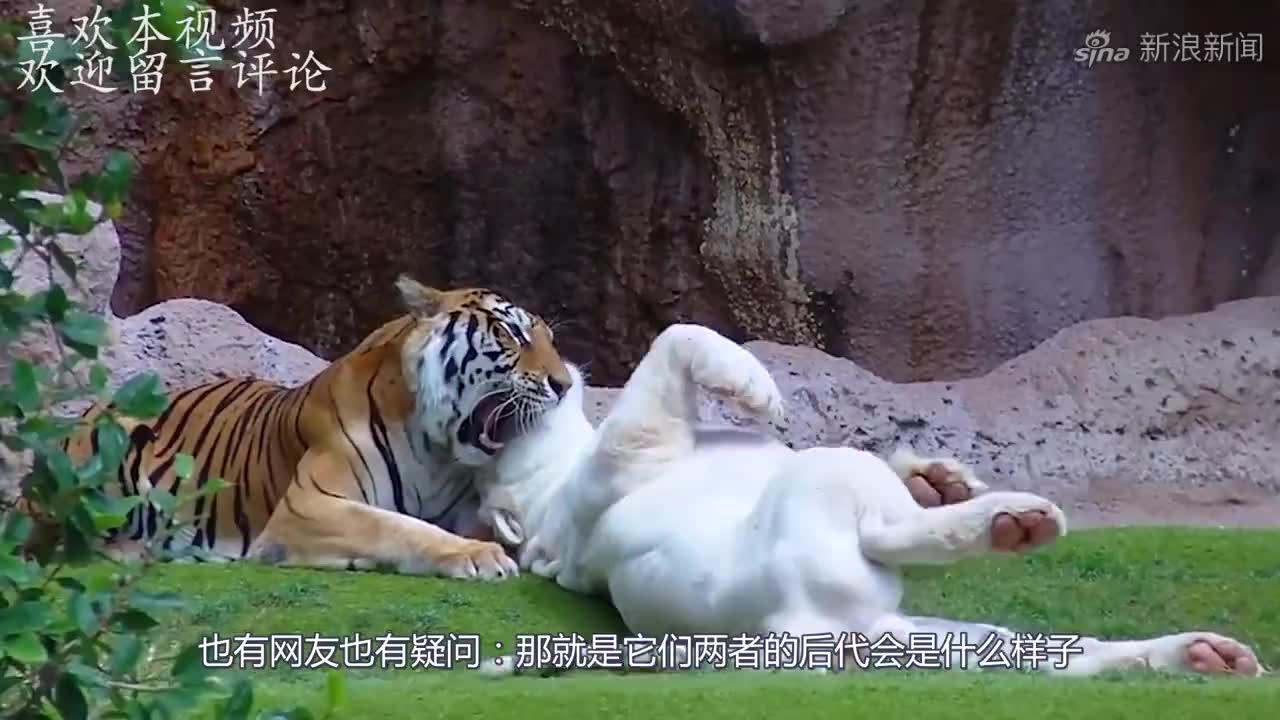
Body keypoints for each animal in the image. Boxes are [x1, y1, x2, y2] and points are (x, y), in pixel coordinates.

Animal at [40, 274, 574, 580]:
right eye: (510, 333)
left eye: (549, 338)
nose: (565, 385)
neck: (438, 454)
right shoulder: (308, 504)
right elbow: (396, 527)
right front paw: (481, 557)